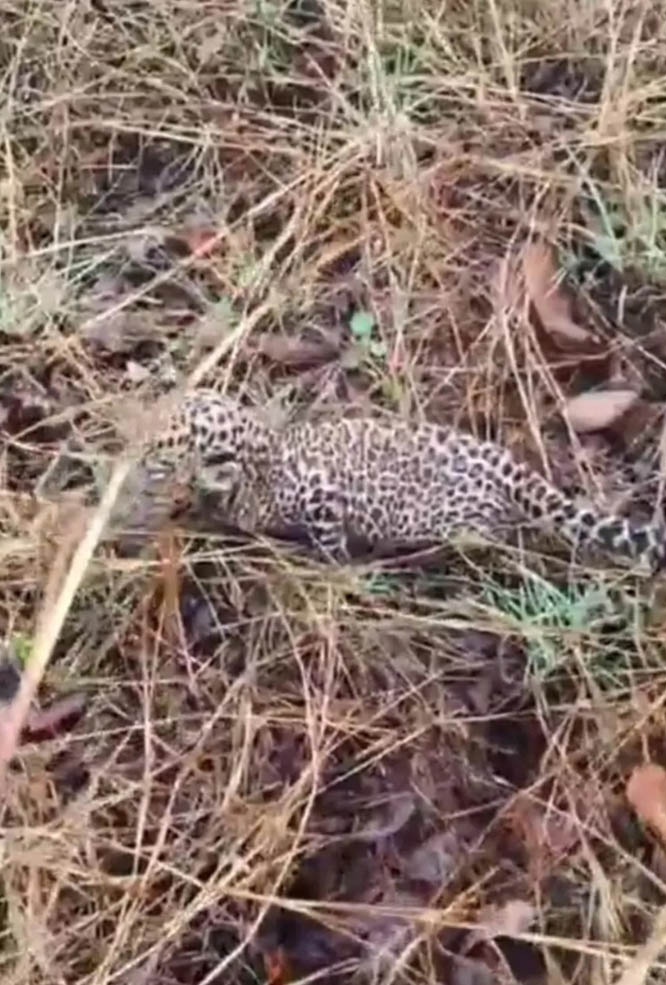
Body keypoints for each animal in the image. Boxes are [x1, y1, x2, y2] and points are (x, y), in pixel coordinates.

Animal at [115, 388, 666, 571]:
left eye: (161, 444)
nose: (128, 448)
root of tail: (504, 463)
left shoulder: (319, 492)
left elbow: (330, 539)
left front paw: (339, 568)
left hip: (461, 520)